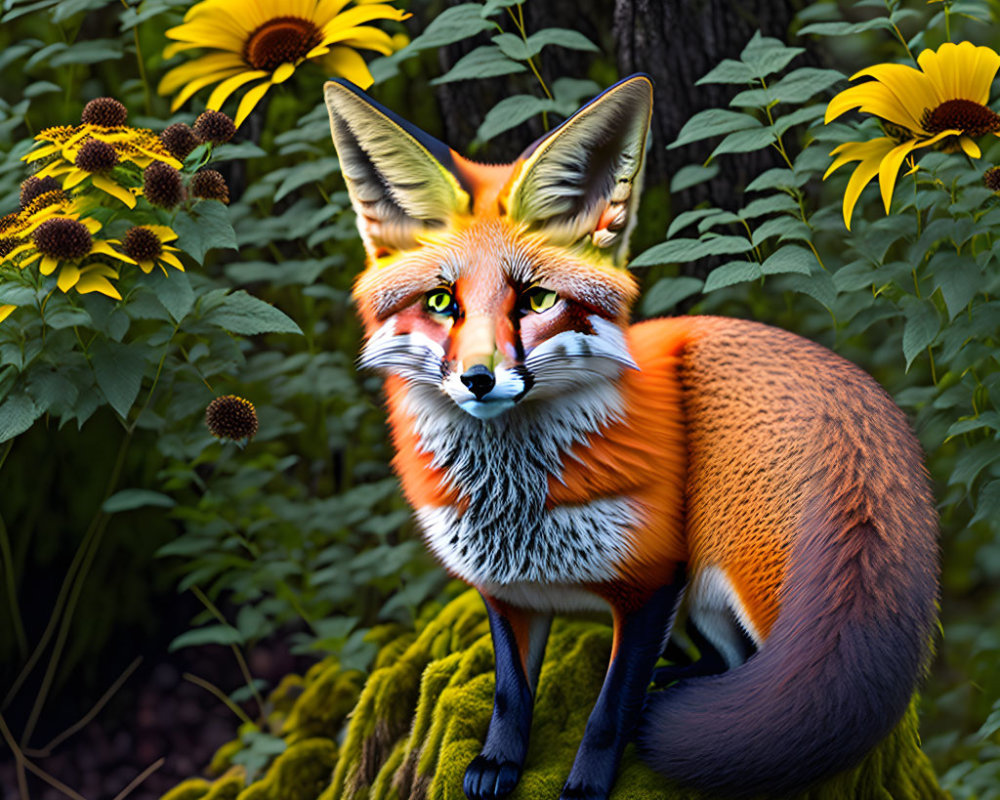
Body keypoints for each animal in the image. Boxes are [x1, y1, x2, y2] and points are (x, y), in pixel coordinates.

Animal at [324, 76, 940, 800]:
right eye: (442, 303)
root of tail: (850, 384)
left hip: (738, 574)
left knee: (782, 698)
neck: (516, 505)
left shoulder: (652, 588)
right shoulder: (505, 592)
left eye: (536, 301)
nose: (479, 379)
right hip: (705, 604)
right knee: (723, 663)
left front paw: (587, 783)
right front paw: (498, 763)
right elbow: (510, 693)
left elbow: (611, 710)